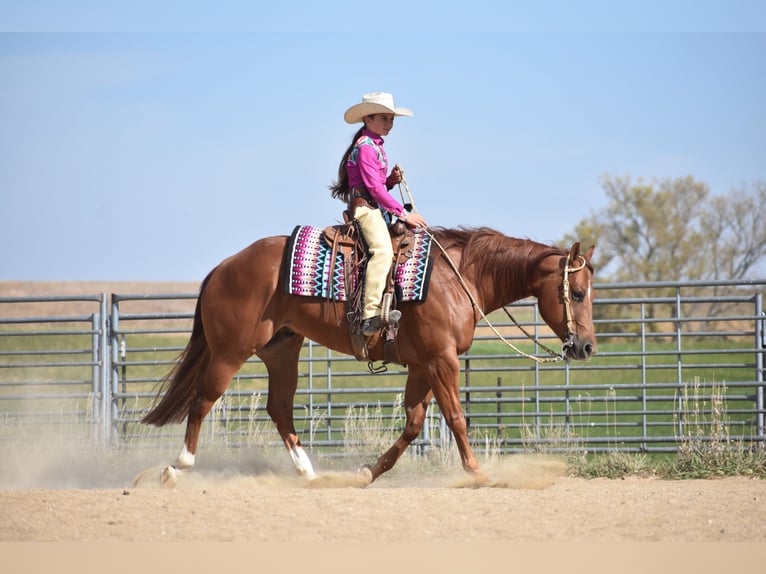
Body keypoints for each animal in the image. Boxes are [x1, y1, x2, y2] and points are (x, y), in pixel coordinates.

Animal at [146, 227, 600, 488]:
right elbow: (456, 418)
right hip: (231, 350)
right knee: (203, 401)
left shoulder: (423, 365)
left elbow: (414, 424)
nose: (586, 347)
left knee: (279, 409)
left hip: (282, 349)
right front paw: (478, 473)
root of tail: (223, 267)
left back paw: (309, 473)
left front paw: (369, 471)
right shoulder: (442, 360)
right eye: (577, 293)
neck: (461, 277)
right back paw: (176, 468)